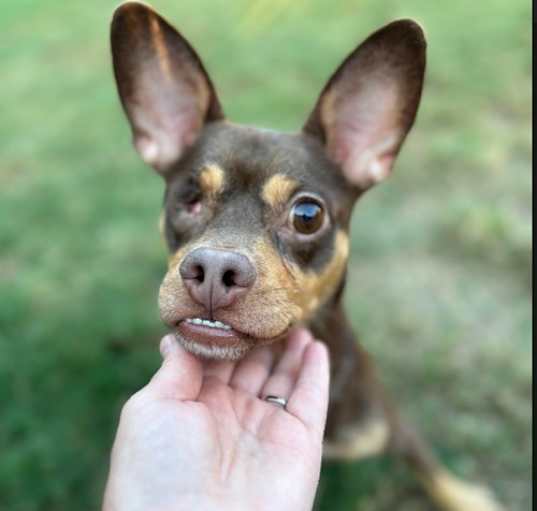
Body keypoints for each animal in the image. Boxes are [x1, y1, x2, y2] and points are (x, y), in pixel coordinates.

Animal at [109, 3, 502, 508]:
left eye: (308, 215)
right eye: (188, 198)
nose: (214, 269)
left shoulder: (389, 424)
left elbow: (428, 464)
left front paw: (468, 497)